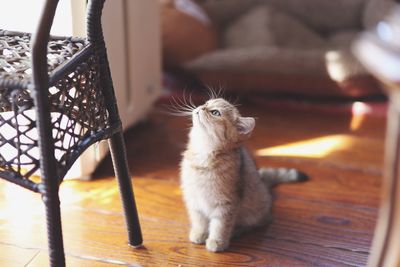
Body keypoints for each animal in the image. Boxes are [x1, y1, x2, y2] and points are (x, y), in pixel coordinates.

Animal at [177, 97, 306, 252]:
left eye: (215, 112)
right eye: (207, 103)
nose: (201, 107)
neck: (203, 155)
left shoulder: (227, 204)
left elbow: (220, 226)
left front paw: (217, 242)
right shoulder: (194, 201)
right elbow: (199, 220)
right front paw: (199, 233)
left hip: (255, 213)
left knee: (258, 223)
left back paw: (237, 231)